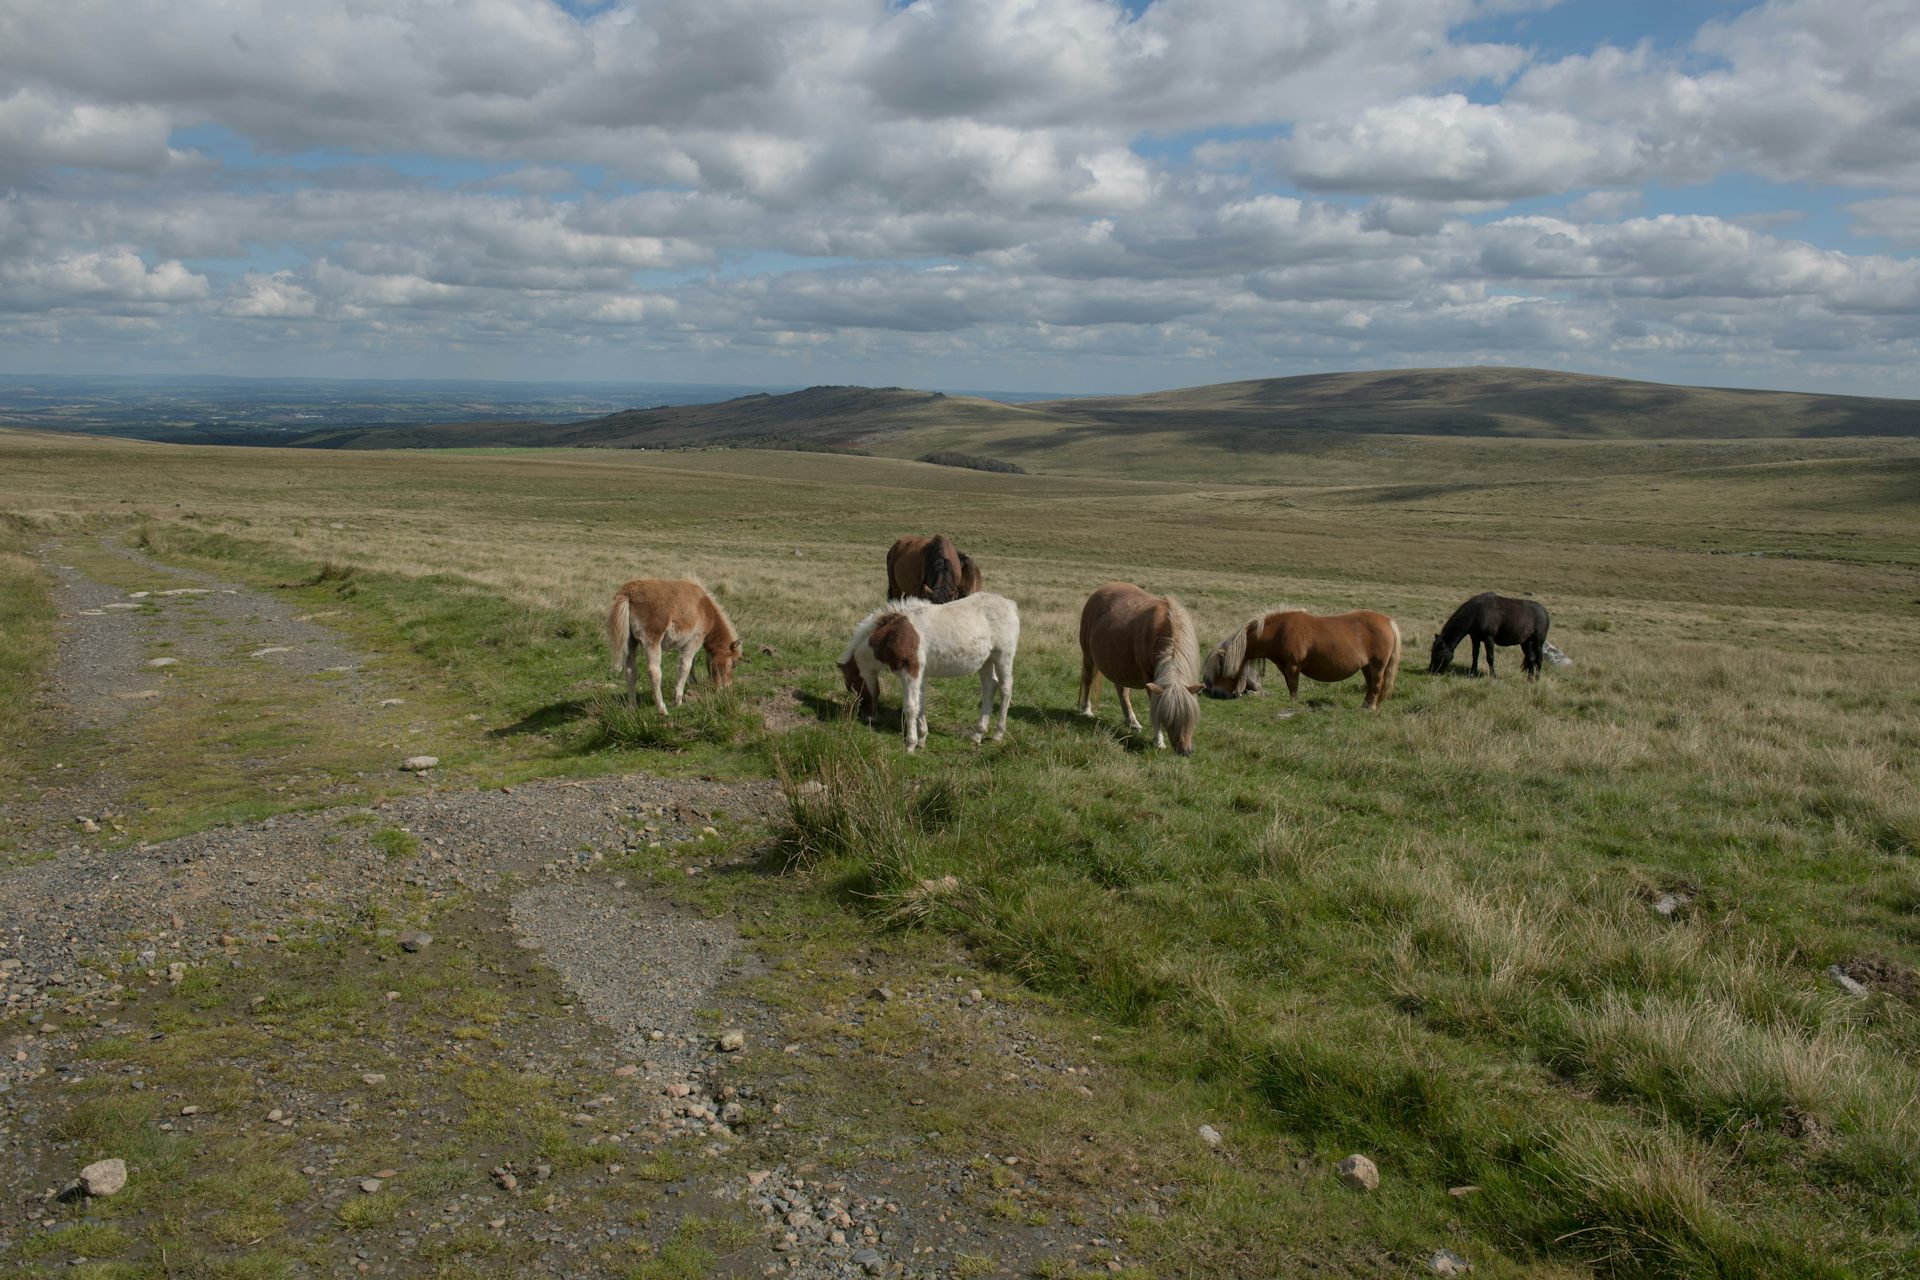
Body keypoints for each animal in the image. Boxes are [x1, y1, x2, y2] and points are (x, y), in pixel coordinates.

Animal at [606, 578, 743, 713]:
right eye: (734, 664)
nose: (727, 688)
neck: (705, 609)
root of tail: (628, 593)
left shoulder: (686, 644)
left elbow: (692, 664)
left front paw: (693, 683)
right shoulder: (694, 641)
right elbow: (685, 666)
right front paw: (678, 700)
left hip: (630, 643)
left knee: (630, 672)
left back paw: (632, 706)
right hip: (652, 641)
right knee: (654, 671)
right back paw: (662, 709)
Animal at [839, 594, 1019, 752]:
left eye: (852, 686)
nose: (869, 718)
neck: (894, 634)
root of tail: (1011, 605)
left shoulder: (910, 672)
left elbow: (910, 707)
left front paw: (910, 745)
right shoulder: (920, 675)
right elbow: (920, 704)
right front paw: (922, 739)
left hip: (1003, 656)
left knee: (1005, 689)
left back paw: (998, 734)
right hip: (986, 661)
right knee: (990, 686)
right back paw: (978, 734)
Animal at [1077, 582, 1202, 755]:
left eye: (1191, 718)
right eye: (1168, 719)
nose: (1185, 751)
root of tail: (1099, 591)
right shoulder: (1150, 678)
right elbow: (1154, 706)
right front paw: (1159, 741)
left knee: (1122, 691)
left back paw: (1132, 721)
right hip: (1088, 656)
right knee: (1088, 680)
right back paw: (1086, 710)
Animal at [1204, 609, 1401, 710]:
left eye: (1220, 670)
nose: (1216, 693)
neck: (1279, 631)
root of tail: (1387, 620)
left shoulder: (1293, 665)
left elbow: (1293, 686)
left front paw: (1293, 705)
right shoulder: (1284, 666)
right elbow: (1290, 685)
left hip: (1377, 666)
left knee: (1376, 686)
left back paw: (1370, 708)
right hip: (1367, 667)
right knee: (1371, 686)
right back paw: (1365, 705)